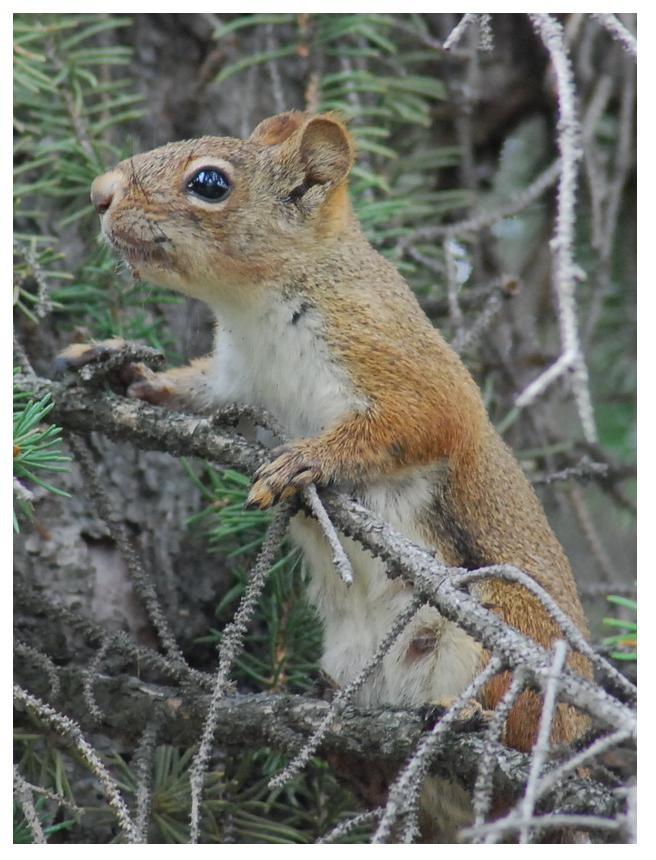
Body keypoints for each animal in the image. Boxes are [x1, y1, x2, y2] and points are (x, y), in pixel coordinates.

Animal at [59, 110, 591, 841]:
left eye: (209, 183)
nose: (98, 193)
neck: (254, 307)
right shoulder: (235, 378)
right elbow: (193, 392)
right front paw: (120, 366)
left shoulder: (392, 354)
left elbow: (422, 420)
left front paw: (307, 459)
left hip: (500, 635)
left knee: (506, 719)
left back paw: (469, 717)